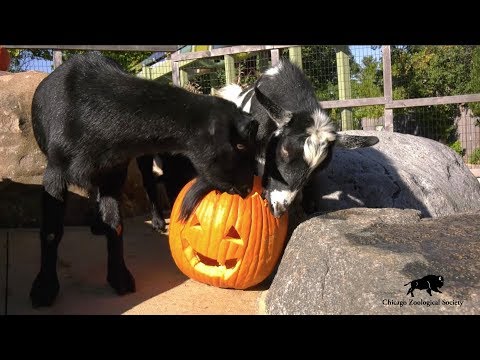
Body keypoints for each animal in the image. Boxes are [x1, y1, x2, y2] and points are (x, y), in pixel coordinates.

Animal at [29, 52, 258, 308]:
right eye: (239, 146)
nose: (248, 188)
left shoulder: (113, 173)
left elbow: (116, 224)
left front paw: (119, 277)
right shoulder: (55, 173)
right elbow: (52, 231)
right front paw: (44, 288)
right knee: (146, 184)